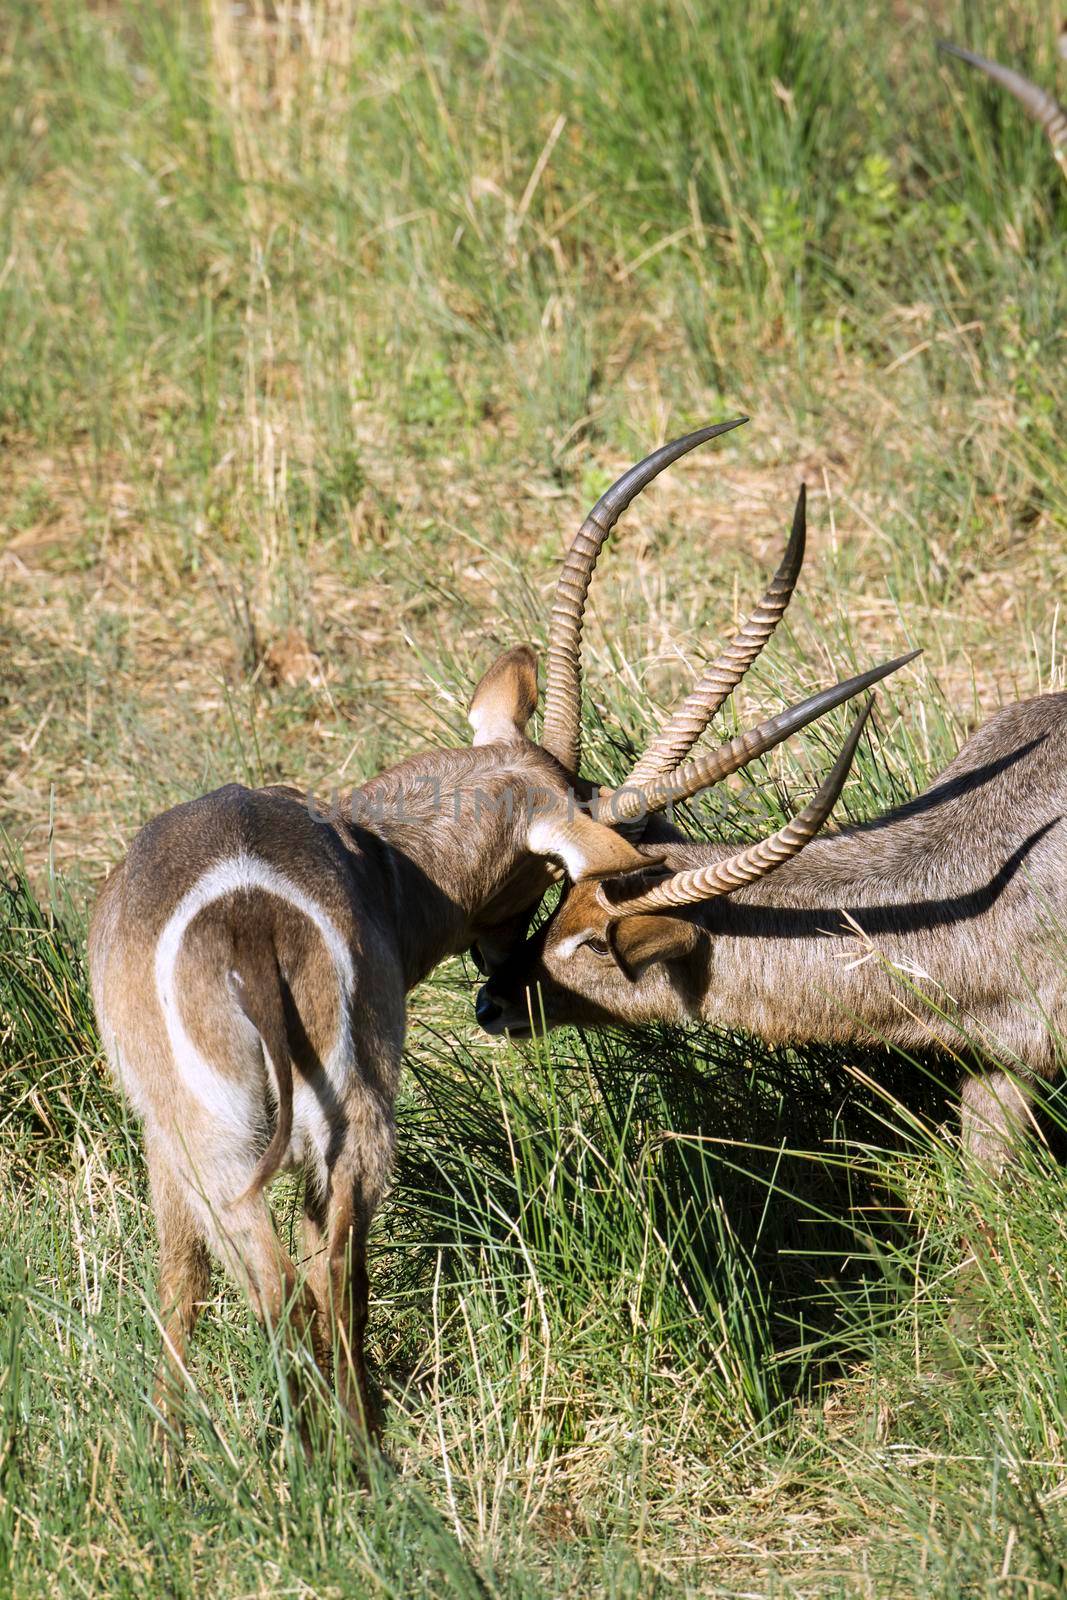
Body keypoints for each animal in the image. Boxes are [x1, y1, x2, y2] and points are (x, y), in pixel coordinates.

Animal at [93, 419, 908, 1446]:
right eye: (555, 874)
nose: (495, 987)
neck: (375, 850)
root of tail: (250, 925)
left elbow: (184, 1283)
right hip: (305, 1132)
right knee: (318, 1283)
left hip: (240, 1144)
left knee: (290, 1289)